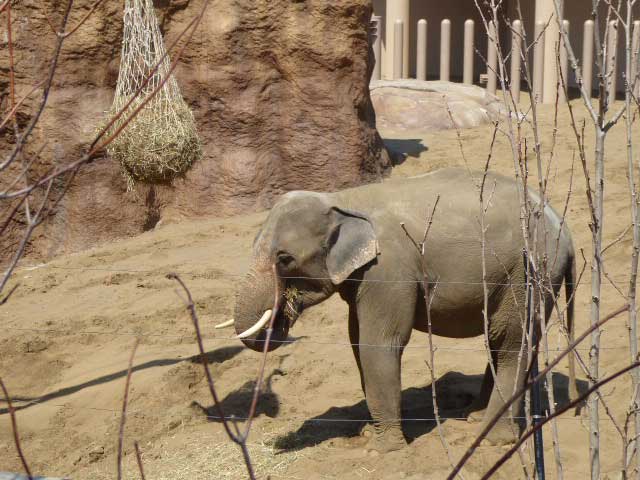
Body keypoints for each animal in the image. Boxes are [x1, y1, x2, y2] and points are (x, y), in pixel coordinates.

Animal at [229, 167, 576, 452]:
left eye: (284, 258)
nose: (281, 313)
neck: (343, 199)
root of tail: (565, 229)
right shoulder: (364, 277)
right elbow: (356, 340)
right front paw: (369, 434)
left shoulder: (388, 269)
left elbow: (379, 342)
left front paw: (383, 450)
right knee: (498, 340)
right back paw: (474, 417)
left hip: (529, 273)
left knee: (510, 342)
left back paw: (492, 438)